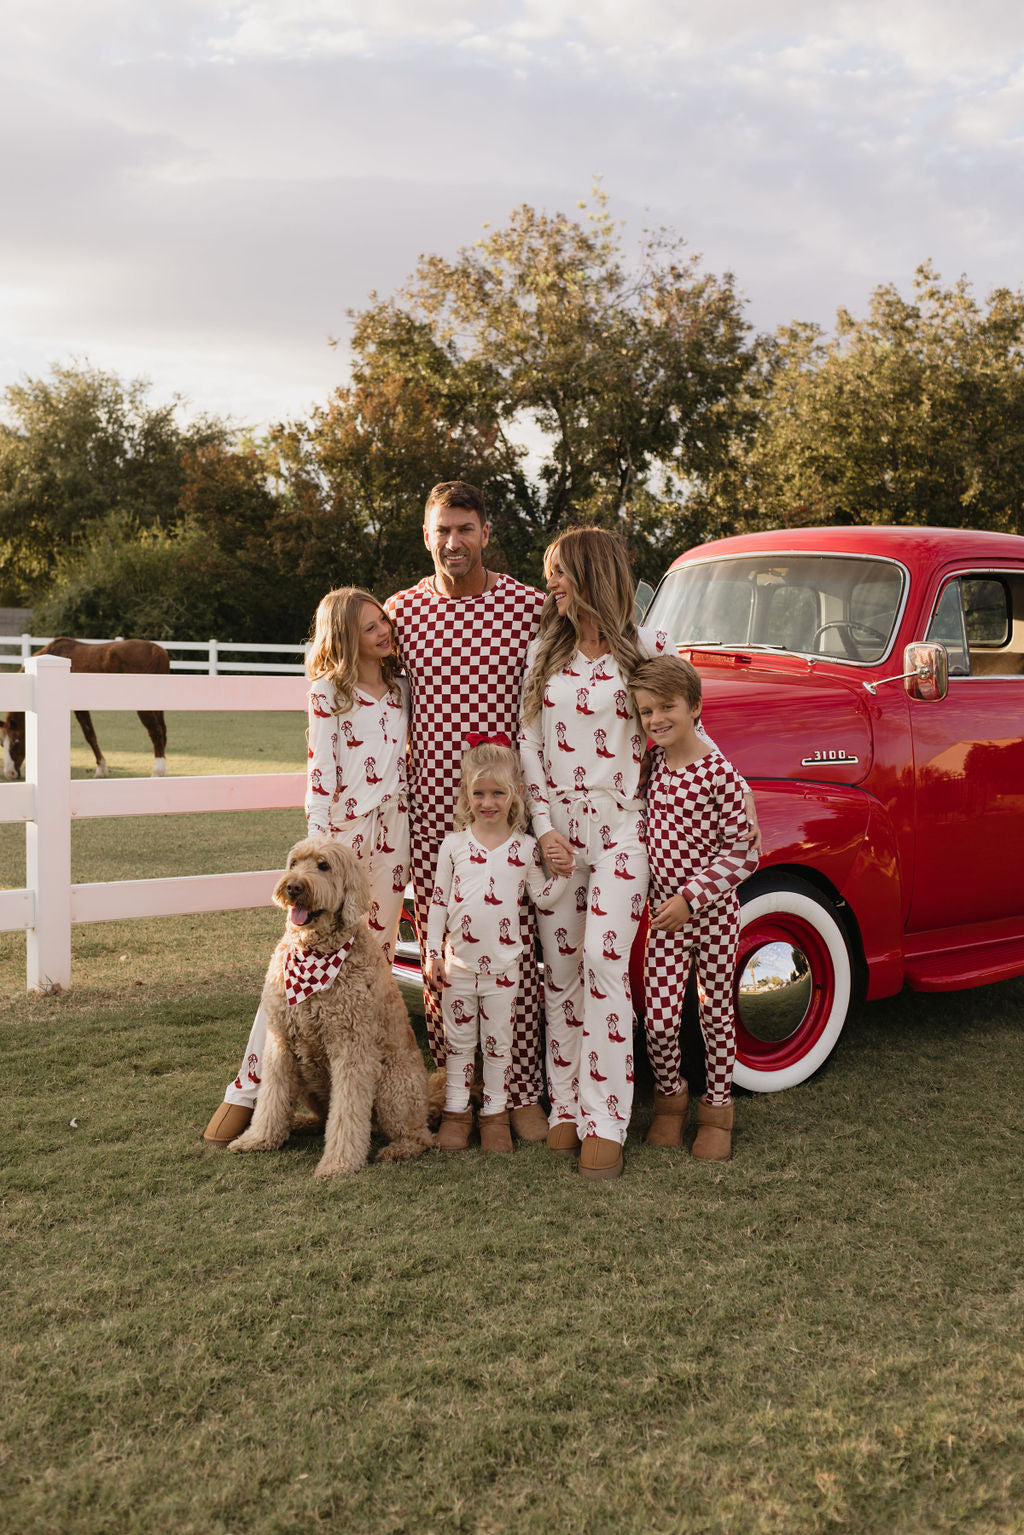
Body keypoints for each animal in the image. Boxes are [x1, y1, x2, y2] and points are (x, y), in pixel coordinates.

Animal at [2, 635, 170, 779]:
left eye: (16, 741)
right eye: (1, 743)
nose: (10, 773)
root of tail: (158, 651)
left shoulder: (80, 709)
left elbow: (89, 735)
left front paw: (101, 768)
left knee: (156, 732)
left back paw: (157, 771)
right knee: (163, 731)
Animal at [230, 841, 436, 1172]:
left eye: (323, 866)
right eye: (294, 863)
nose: (294, 886)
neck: (314, 951)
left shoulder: (351, 1048)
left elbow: (347, 1113)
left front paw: (339, 1163)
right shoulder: (280, 1044)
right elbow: (271, 1098)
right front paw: (258, 1139)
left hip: (393, 1082)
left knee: (418, 1135)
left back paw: (399, 1148)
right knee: (322, 1116)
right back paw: (300, 1123)